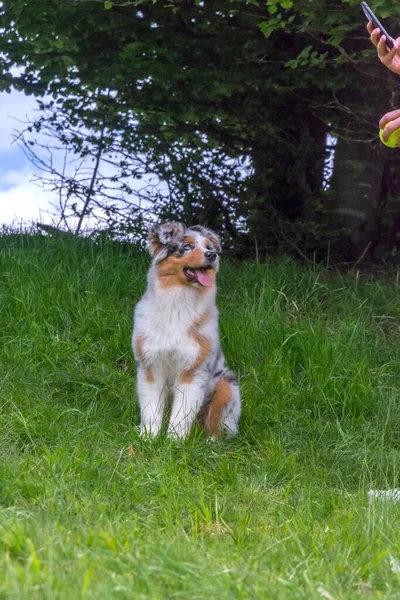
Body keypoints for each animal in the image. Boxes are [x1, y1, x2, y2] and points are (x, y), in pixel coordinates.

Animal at [133, 223, 242, 438]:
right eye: (187, 247)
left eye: (209, 247)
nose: (212, 255)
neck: (178, 304)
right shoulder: (151, 366)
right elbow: (151, 409)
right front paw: (149, 438)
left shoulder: (193, 371)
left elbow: (182, 413)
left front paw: (174, 441)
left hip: (227, 387)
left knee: (217, 425)